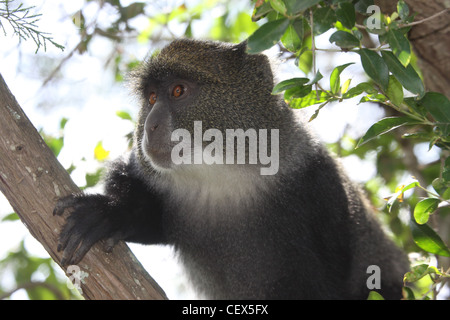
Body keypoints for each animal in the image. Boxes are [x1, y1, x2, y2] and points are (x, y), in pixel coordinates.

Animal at [54, 38, 410, 298]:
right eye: (152, 97)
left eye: (178, 91)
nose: (150, 126)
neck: (225, 176)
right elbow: (151, 218)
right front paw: (111, 212)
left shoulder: (320, 186)